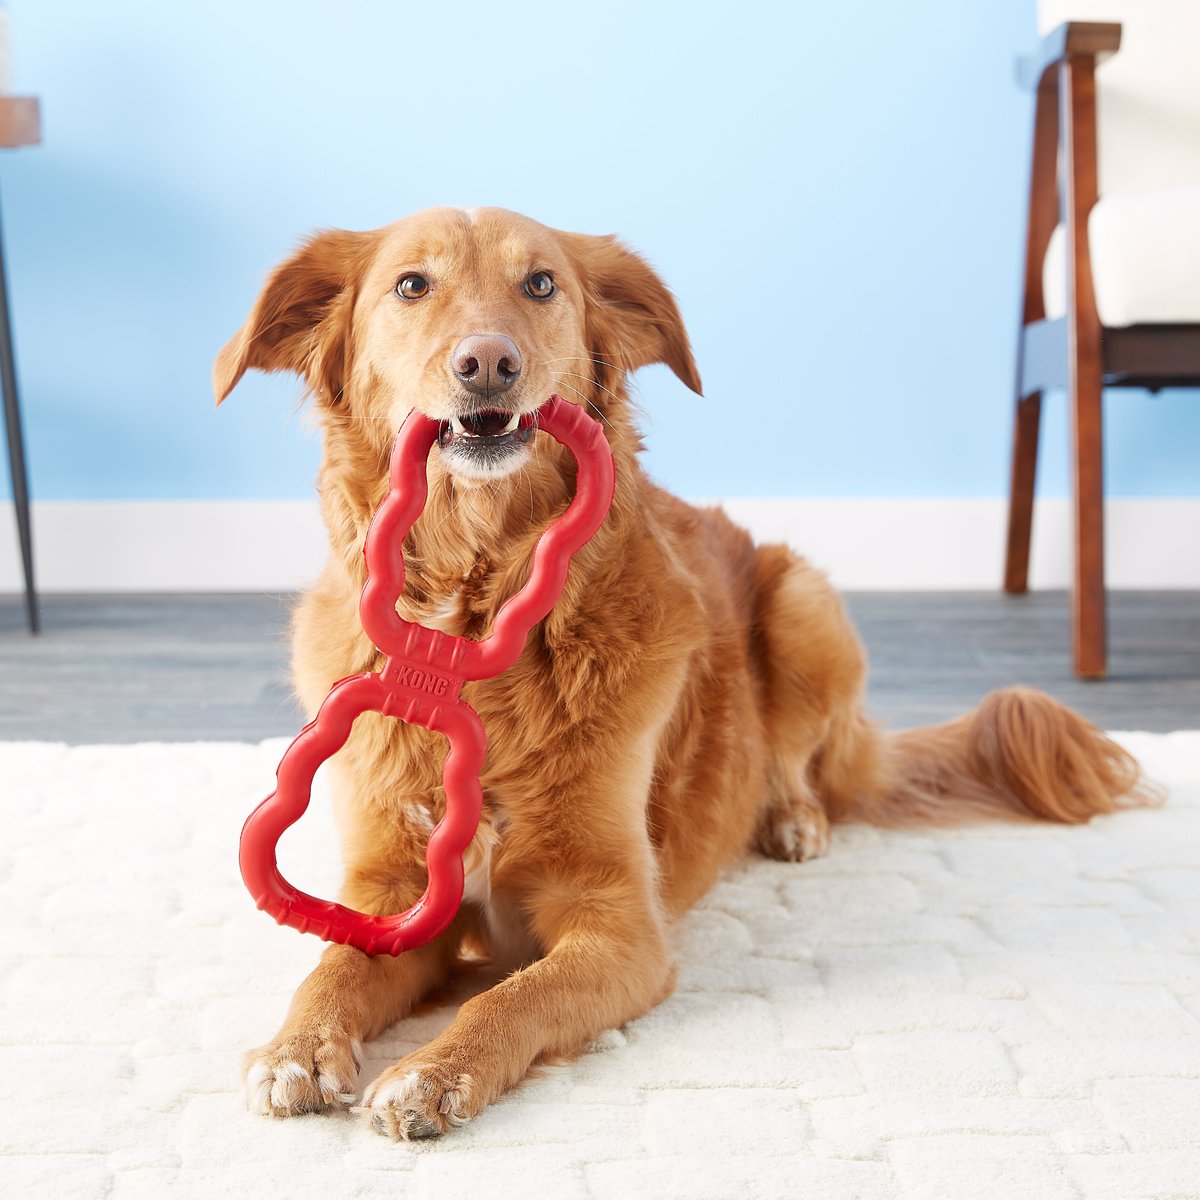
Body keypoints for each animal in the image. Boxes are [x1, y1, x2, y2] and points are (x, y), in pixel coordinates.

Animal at [216, 206, 1152, 1142]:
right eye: (411, 285)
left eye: (541, 283)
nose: (488, 364)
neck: (473, 620)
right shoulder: (390, 896)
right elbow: (332, 967)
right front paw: (297, 1047)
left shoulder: (623, 928)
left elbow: (512, 999)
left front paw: (432, 1072)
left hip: (805, 605)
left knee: (801, 769)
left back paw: (793, 823)